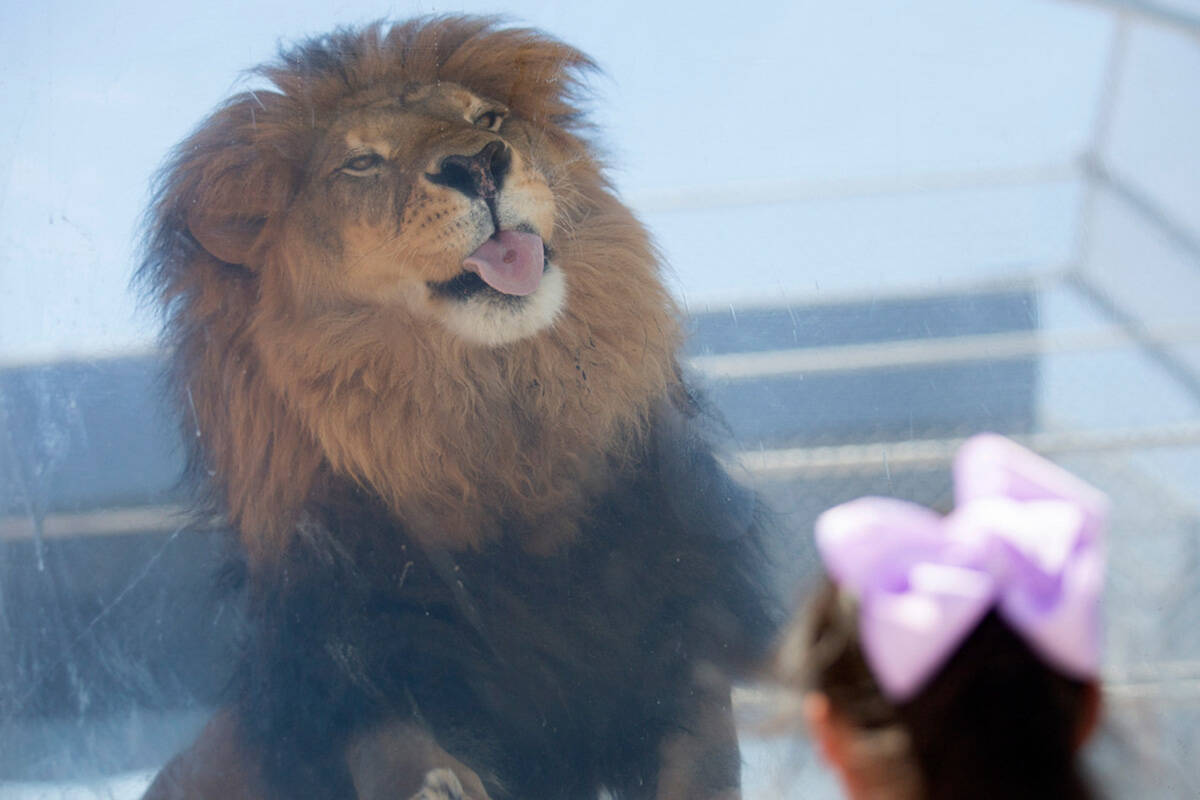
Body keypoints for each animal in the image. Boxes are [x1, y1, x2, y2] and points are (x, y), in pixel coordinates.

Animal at [140, 17, 777, 800]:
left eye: (487, 120)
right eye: (361, 164)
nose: (478, 165)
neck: (489, 420)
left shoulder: (681, 628)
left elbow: (703, 755)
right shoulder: (355, 655)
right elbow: (395, 743)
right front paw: (439, 784)